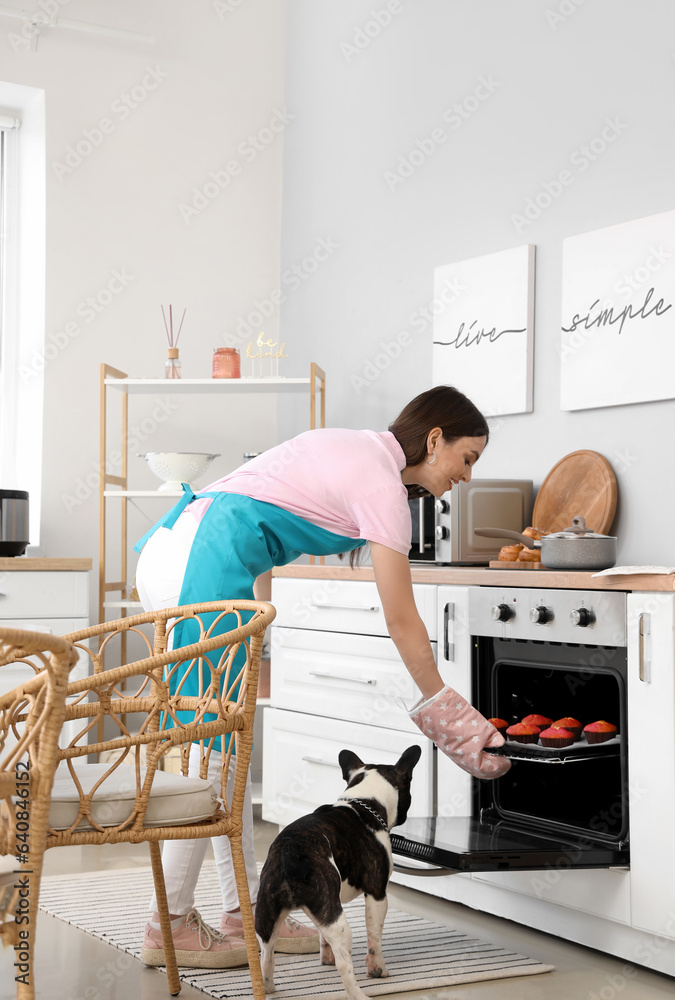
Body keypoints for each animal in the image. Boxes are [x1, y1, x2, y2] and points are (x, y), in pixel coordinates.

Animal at [256, 744, 420, 1000]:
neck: (364, 801)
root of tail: (291, 850)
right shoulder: (377, 893)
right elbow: (375, 938)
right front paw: (378, 970)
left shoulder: (329, 907)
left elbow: (323, 936)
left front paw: (326, 958)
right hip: (339, 924)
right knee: (346, 965)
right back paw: (359, 994)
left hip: (269, 914)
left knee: (266, 956)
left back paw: (269, 988)